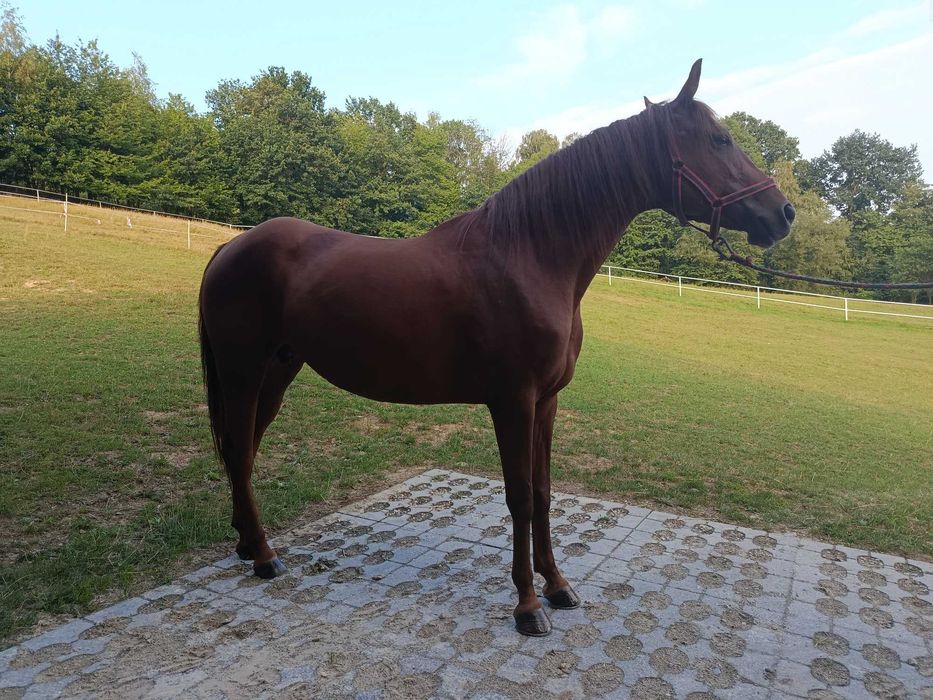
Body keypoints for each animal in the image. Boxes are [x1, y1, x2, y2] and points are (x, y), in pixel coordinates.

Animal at [198, 59, 795, 636]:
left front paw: (558, 586)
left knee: (243, 449)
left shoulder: (546, 402)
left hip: (277, 373)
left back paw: (248, 544)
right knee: (240, 452)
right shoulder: (512, 401)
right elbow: (519, 497)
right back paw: (264, 556)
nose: (784, 213)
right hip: (244, 373)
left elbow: (545, 493)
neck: (529, 255)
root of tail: (231, 245)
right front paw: (528, 606)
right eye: (719, 139)